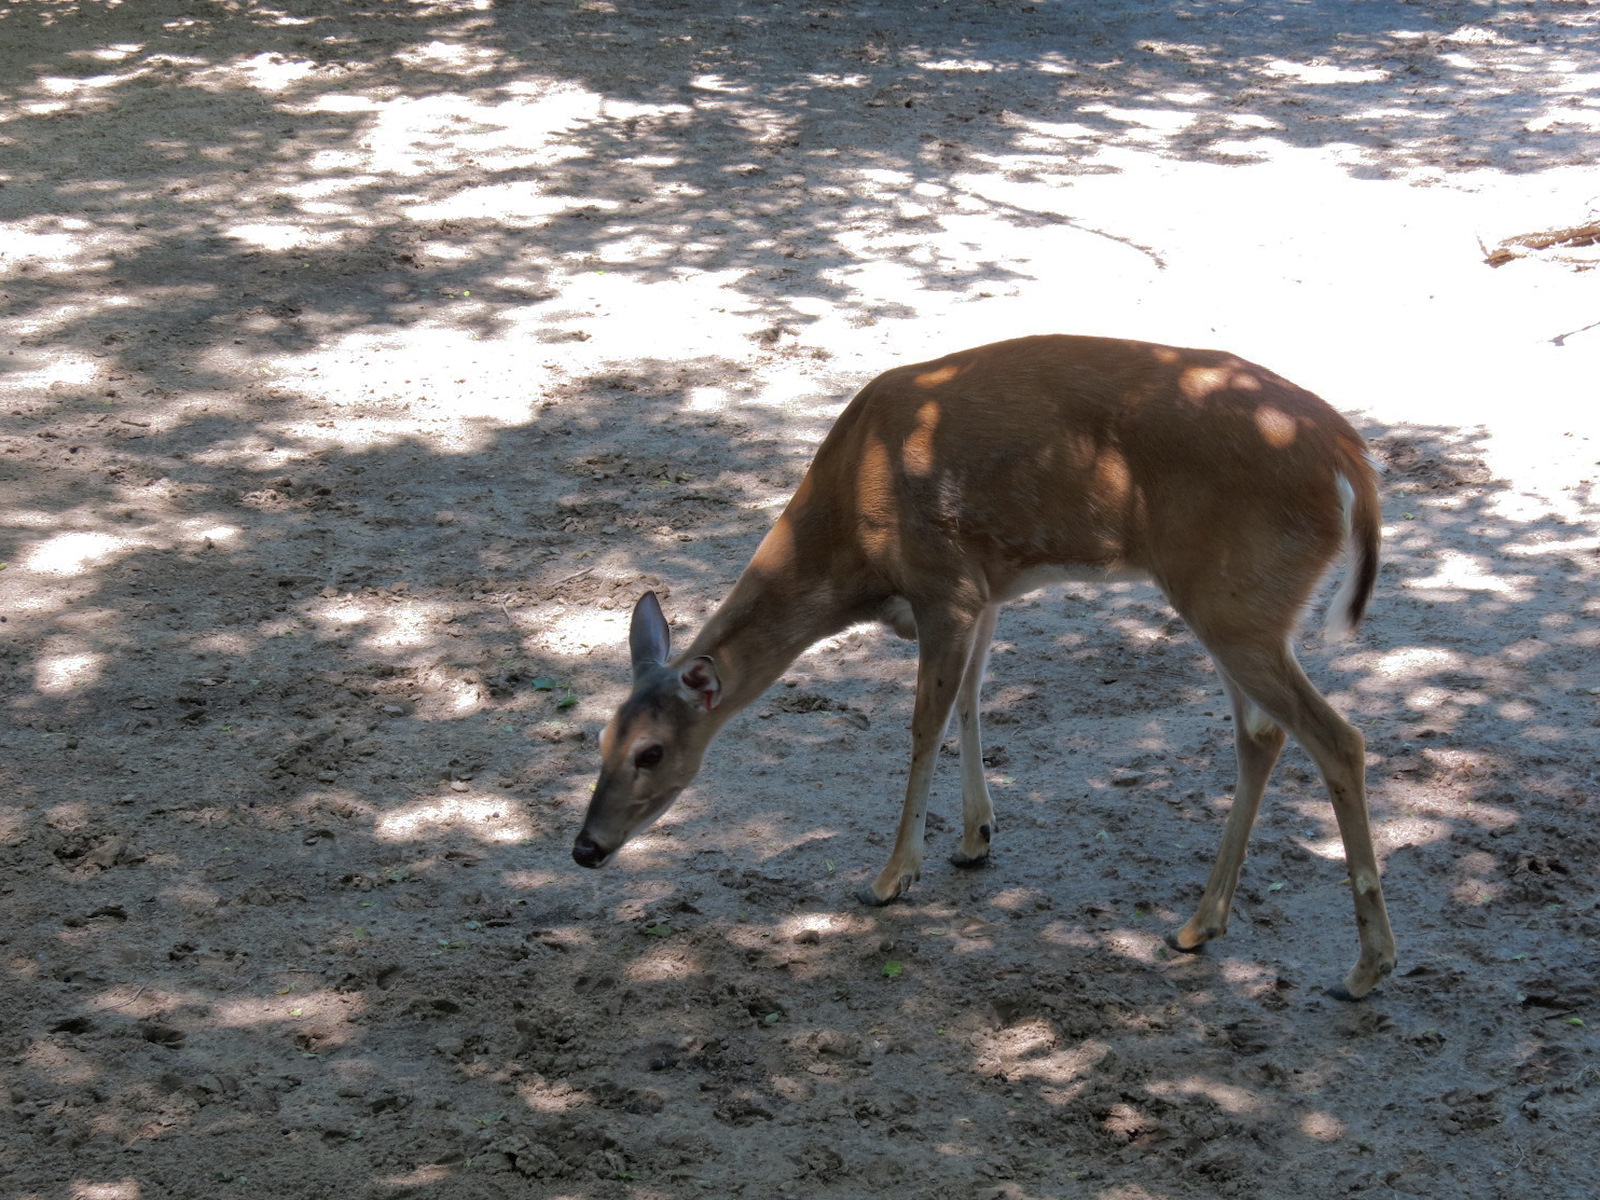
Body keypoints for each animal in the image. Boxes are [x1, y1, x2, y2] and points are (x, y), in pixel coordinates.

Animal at [572, 334, 1397, 1001]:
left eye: (652, 752)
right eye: (599, 740)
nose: (585, 848)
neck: (850, 541)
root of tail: (1351, 463)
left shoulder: (946, 584)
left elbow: (923, 724)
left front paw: (892, 877)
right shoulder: (988, 586)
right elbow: (972, 697)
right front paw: (976, 837)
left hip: (1233, 595)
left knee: (1338, 738)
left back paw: (1366, 967)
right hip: (1235, 604)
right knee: (1264, 734)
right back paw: (1198, 926)